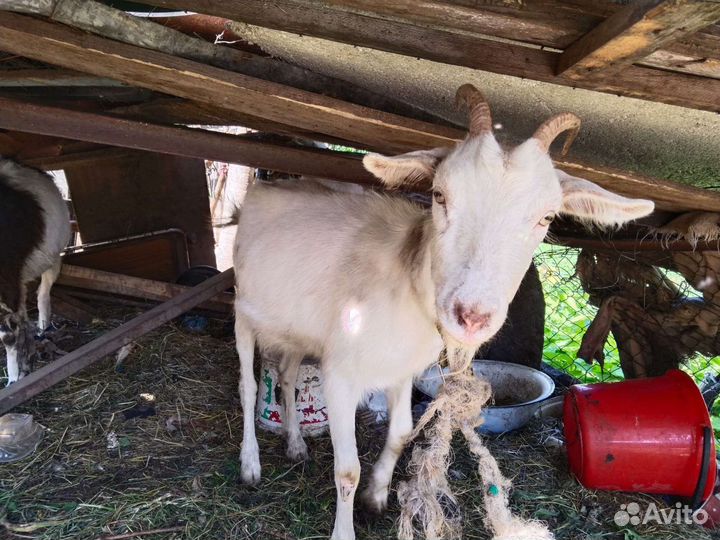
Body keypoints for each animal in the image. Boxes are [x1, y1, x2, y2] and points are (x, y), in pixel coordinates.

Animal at [0, 159, 70, 385]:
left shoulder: (7, 283)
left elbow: (7, 335)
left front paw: (14, 378)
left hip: (53, 256)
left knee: (43, 293)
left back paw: (42, 327)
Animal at [232, 85, 654, 540]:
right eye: (439, 195)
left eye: (545, 218)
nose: (471, 315)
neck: (402, 282)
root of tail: (264, 189)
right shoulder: (340, 372)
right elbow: (347, 469)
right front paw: (344, 529)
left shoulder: (400, 368)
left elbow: (400, 434)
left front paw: (376, 497)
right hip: (242, 310)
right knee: (249, 386)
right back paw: (250, 465)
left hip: (294, 326)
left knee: (288, 376)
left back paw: (295, 444)